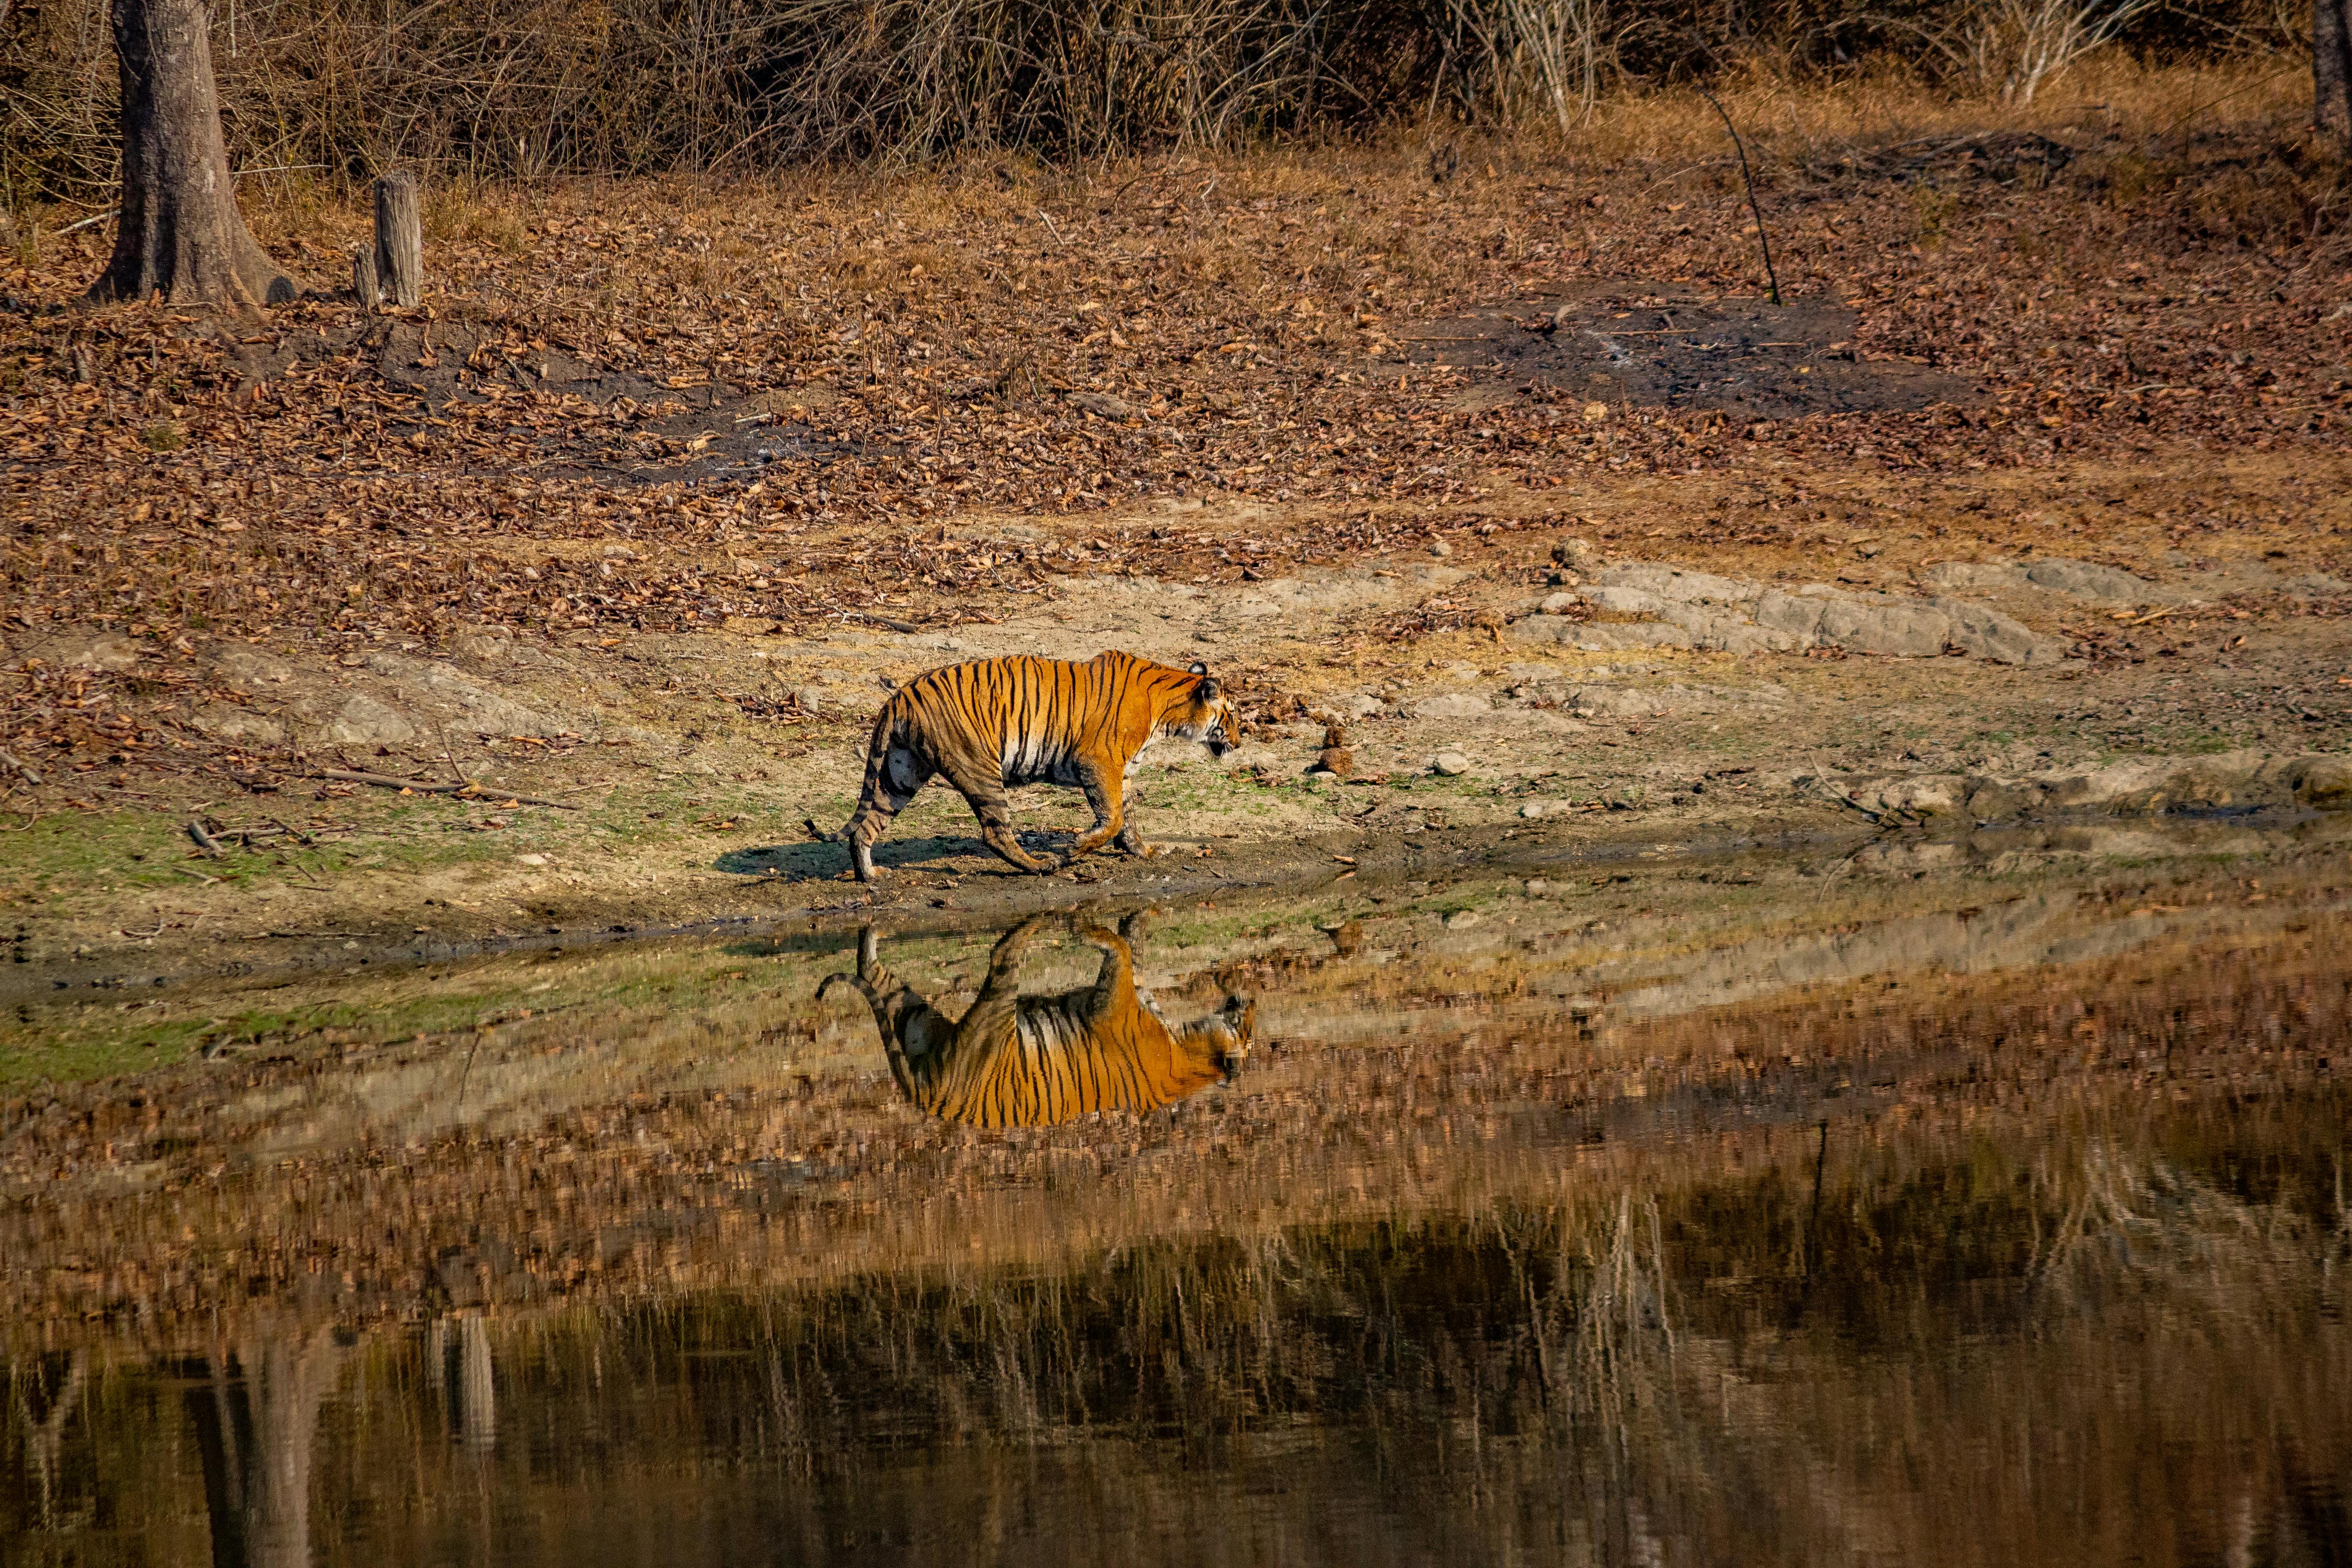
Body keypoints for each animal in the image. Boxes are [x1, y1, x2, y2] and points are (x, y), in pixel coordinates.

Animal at [804, 651, 1240, 883]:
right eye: (1233, 716)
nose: (1238, 742)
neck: (1169, 711)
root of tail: (900, 695)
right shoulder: (1100, 763)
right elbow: (1113, 816)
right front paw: (1077, 846)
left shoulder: (1124, 771)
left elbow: (1128, 818)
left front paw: (1143, 851)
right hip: (981, 768)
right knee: (995, 833)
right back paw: (1041, 866)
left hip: (901, 773)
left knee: (865, 826)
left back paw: (870, 876)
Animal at [818, 911, 1255, 1128]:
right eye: (1245, 1029)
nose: (1247, 1000)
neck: (1186, 1048)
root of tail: (927, 1099)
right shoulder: (1117, 999)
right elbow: (1125, 948)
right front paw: (1088, 928)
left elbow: (1123, 949)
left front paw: (1084, 929)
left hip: (941, 1015)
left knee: (998, 951)